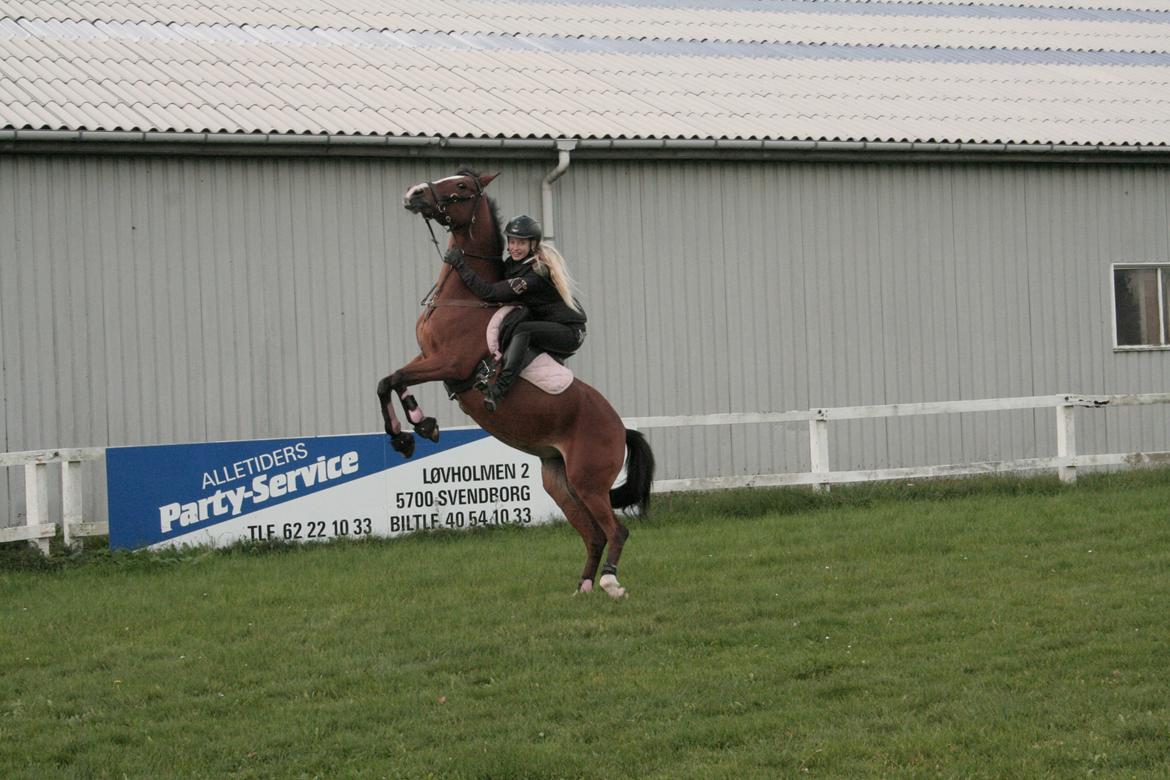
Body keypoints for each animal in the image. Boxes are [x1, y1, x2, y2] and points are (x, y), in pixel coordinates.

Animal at [376, 169, 655, 598]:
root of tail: (621, 428)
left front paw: (409, 433)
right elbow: (390, 381)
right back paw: (584, 587)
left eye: (461, 187)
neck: (465, 296)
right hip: (560, 482)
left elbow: (392, 380)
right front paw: (418, 428)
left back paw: (610, 582)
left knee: (616, 530)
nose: (414, 192)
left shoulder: (448, 362)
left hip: (589, 483)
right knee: (593, 534)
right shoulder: (426, 358)